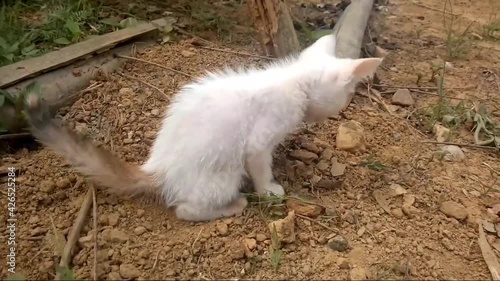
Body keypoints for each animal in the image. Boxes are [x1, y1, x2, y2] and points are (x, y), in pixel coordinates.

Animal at [24, 33, 382, 221]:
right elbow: (261, 167)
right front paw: (269, 191)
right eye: (347, 94)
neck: (294, 81)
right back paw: (233, 205)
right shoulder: (258, 142)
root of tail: (157, 168)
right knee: (185, 209)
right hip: (223, 174)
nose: (338, 109)